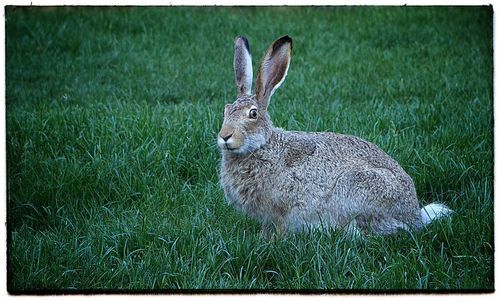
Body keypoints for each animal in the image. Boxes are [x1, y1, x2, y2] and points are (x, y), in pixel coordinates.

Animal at [217, 35, 452, 237]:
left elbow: (281, 227)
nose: (225, 137)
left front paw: (272, 242)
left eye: (253, 114)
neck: (262, 146)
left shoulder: (284, 209)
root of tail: (414, 214)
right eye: (225, 110)